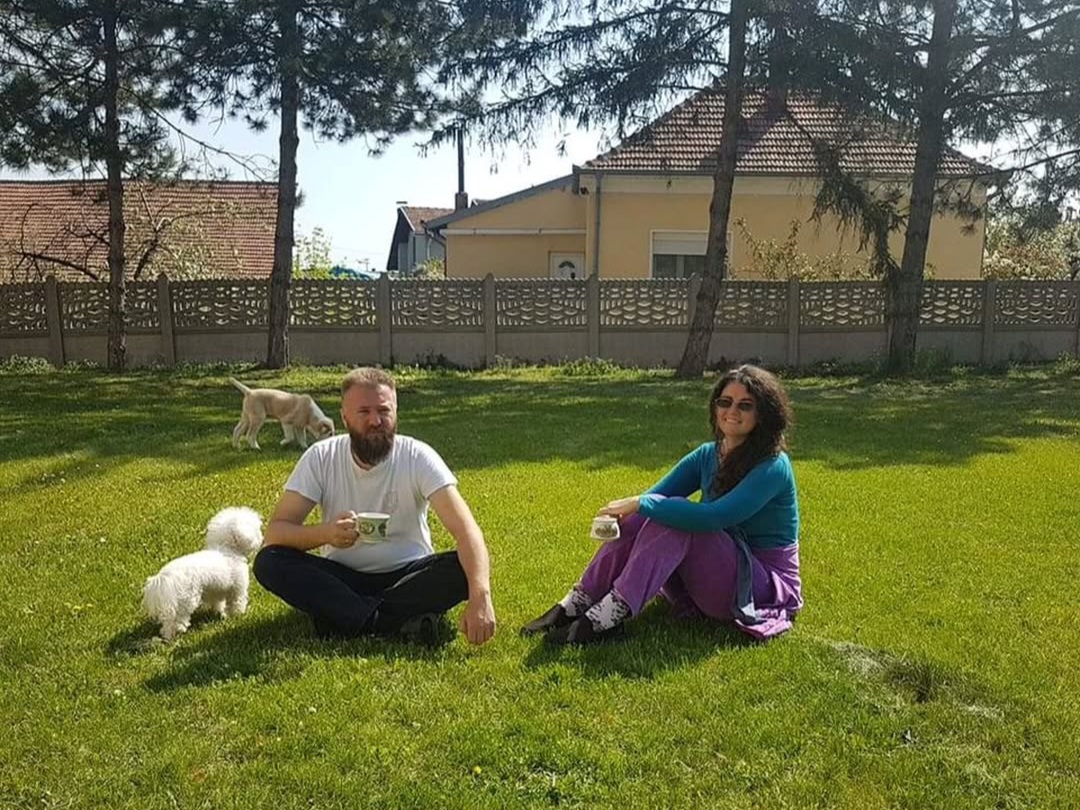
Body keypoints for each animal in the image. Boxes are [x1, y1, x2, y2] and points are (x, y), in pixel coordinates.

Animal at [142, 507, 263, 642]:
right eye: (256, 528)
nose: (261, 538)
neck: (228, 550)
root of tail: (168, 576)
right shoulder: (237, 588)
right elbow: (237, 602)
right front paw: (236, 616)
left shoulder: (216, 590)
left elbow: (218, 602)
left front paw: (220, 612)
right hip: (187, 600)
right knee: (178, 619)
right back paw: (179, 630)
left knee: (168, 622)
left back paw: (168, 636)